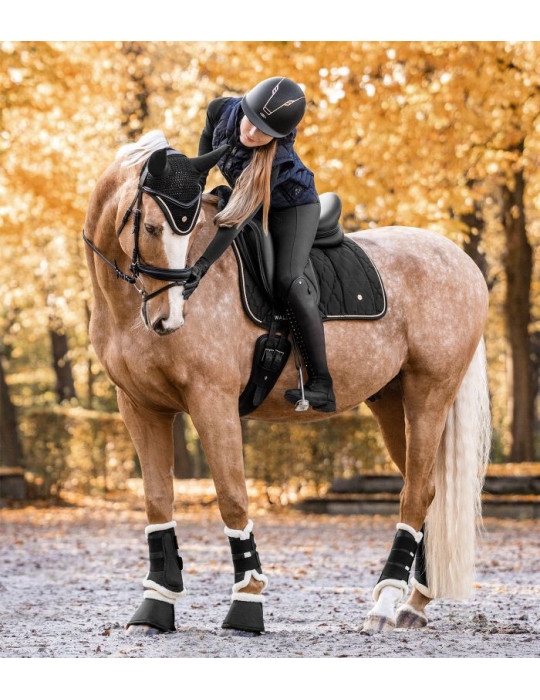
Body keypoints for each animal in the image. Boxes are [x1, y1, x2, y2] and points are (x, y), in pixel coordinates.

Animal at [83, 130, 491, 637]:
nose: (167, 319)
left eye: (185, 230)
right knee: (428, 492)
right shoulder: (139, 406)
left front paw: (247, 602)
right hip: (393, 404)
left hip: (429, 395)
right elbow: (158, 502)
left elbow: (232, 497)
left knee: (415, 493)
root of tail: (462, 261)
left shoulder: (211, 401)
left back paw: (383, 604)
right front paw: (156, 604)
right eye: (154, 229)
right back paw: (413, 603)